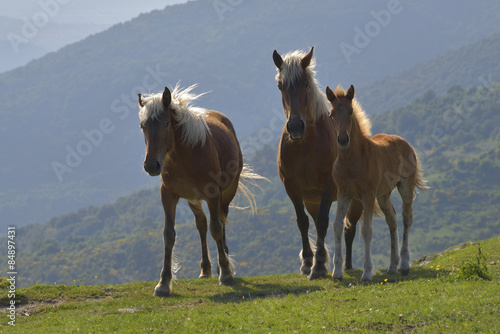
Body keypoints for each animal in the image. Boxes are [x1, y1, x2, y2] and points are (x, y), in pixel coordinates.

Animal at [139, 84, 266, 298]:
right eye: (143, 126)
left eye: (166, 124)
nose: (151, 165)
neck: (185, 155)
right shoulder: (168, 195)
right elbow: (169, 234)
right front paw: (163, 283)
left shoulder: (213, 194)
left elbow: (216, 229)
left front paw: (226, 273)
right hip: (193, 199)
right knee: (202, 224)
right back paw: (206, 269)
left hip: (226, 193)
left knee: (220, 222)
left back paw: (224, 264)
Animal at [274, 47, 364, 280]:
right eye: (280, 85)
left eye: (305, 83)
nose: (296, 126)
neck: (305, 146)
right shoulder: (291, 187)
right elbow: (302, 222)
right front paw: (308, 261)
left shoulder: (329, 185)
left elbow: (324, 222)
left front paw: (318, 266)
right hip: (312, 200)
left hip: (354, 200)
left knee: (349, 228)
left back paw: (346, 265)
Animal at [326, 84, 428, 282]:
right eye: (331, 114)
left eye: (350, 111)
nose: (343, 140)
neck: (353, 161)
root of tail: (405, 143)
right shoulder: (344, 193)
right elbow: (337, 226)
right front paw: (337, 272)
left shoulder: (368, 195)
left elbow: (367, 230)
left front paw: (366, 273)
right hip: (383, 195)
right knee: (392, 219)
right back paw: (392, 266)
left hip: (405, 187)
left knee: (406, 218)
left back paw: (404, 264)